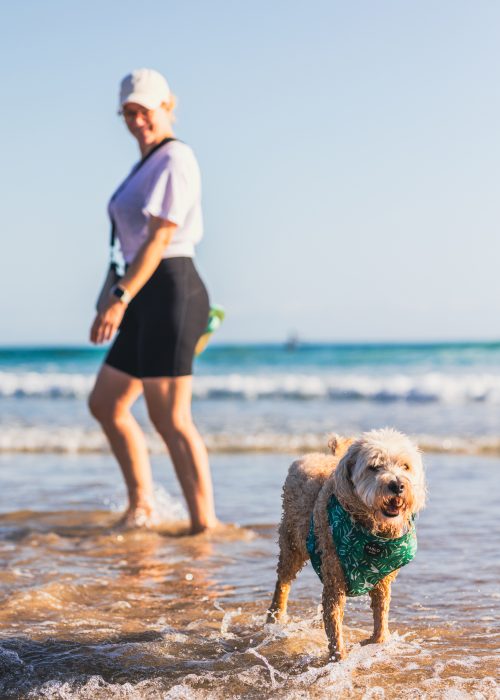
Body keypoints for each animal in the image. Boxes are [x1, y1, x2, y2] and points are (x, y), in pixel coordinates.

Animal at [266, 426, 426, 660]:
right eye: (374, 467)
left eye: (405, 466)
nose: (398, 485)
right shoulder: (334, 579)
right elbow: (333, 620)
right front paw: (338, 656)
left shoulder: (382, 578)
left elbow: (381, 612)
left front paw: (376, 641)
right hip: (291, 542)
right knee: (283, 581)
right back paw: (274, 618)